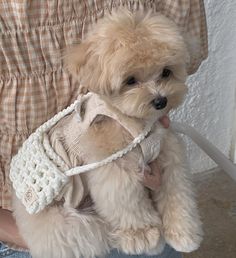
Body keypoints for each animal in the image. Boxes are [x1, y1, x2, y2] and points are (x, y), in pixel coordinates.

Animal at [12, 10, 203, 258]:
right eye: (130, 80)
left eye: (166, 72)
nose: (161, 101)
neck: (133, 123)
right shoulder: (115, 169)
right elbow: (127, 202)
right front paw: (142, 236)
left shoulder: (168, 155)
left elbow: (177, 193)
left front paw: (184, 233)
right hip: (68, 225)